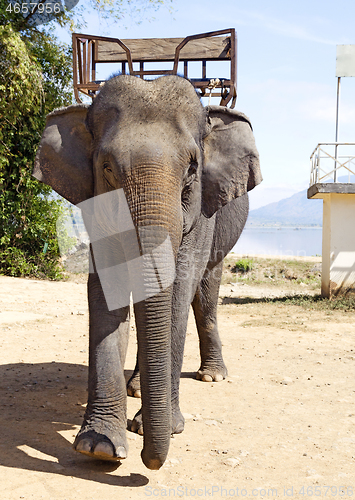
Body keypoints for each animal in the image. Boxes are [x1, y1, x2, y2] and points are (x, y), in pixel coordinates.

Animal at [33, 73, 262, 468]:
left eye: (192, 168)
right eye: (107, 168)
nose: (148, 461)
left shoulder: (201, 213)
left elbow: (178, 294)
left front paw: (163, 428)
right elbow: (107, 291)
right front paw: (99, 446)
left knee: (205, 297)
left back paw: (211, 377)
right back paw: (138, 389)